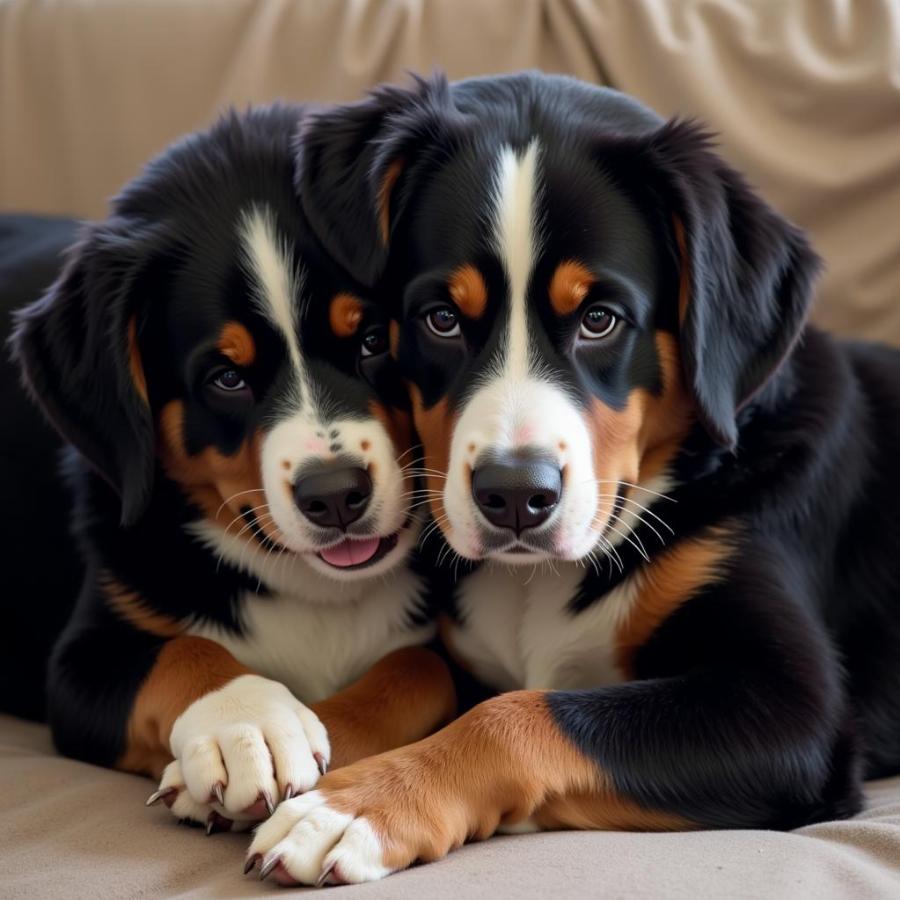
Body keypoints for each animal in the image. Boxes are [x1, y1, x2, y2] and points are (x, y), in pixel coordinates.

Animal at [14, 105, 460, 836]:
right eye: (226, 377)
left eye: (372, 338)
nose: (335, 495)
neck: (317, 594)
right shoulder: (81, 664)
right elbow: (183, 650)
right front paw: (246, 725)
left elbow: (415, 670)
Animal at [244, 72, 900, 884]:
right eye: (439, 319)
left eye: (600, 320)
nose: (515, 495)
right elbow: (408, 668)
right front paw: (269, 733)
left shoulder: (792, 709)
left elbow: (520, 714)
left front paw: (353, 808)